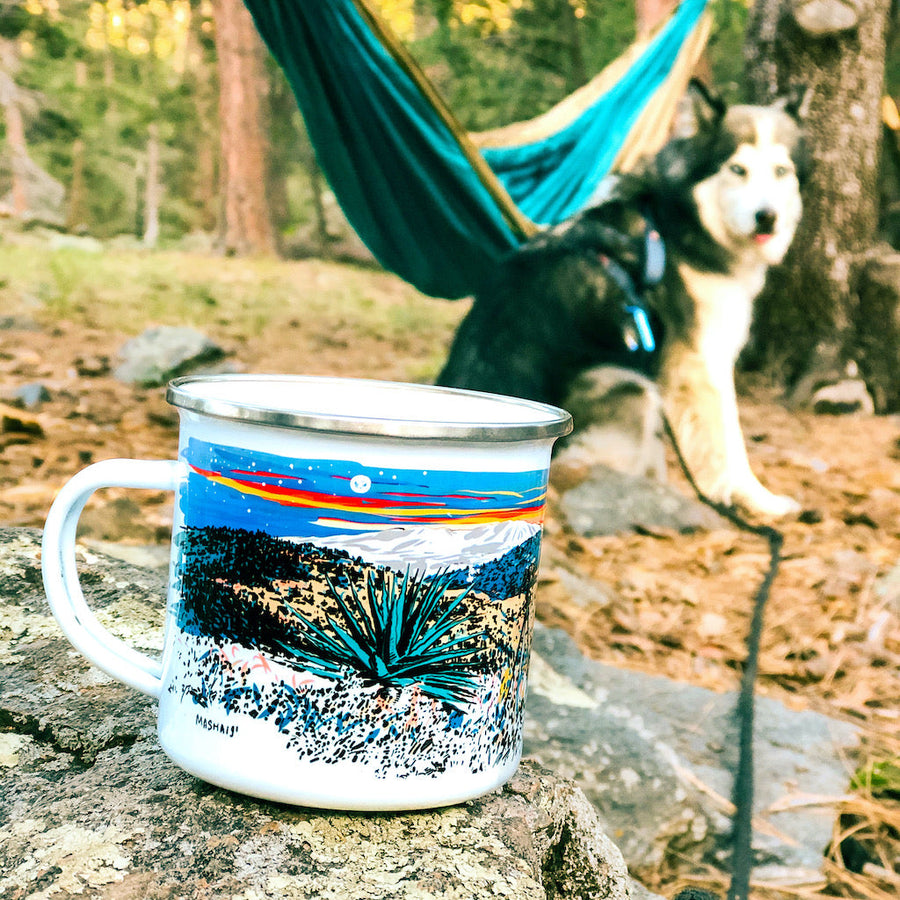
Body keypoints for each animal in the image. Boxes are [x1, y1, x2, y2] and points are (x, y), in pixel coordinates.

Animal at [436, 84, 808, 520]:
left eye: (781, 171)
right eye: (737, 169)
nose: (768, 217)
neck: (677, 219)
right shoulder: (700, 359)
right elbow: (729, 444)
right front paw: (758, 500)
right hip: (633, 386)